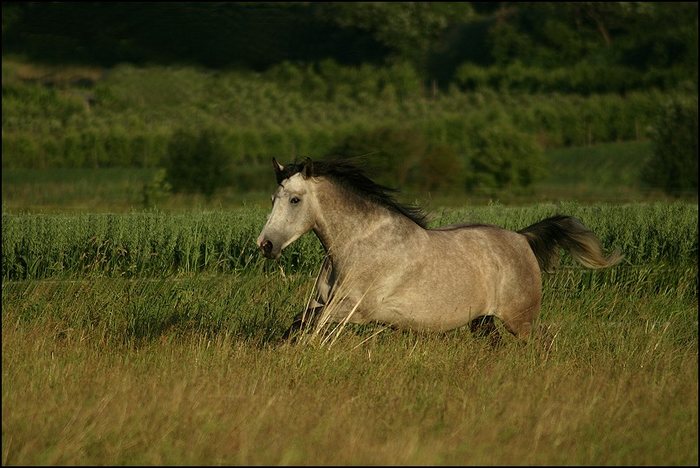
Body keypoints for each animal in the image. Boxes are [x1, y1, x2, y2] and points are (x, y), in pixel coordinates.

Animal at [254, 155, 620, 342]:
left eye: (295, 199)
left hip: (520, 320)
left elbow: (309, 326)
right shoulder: (324, 303)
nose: (265, 245)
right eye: (272, 198)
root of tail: (521, 238)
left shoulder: (356, 310)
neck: (359, 246)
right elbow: (299, 322)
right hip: (482, 321)